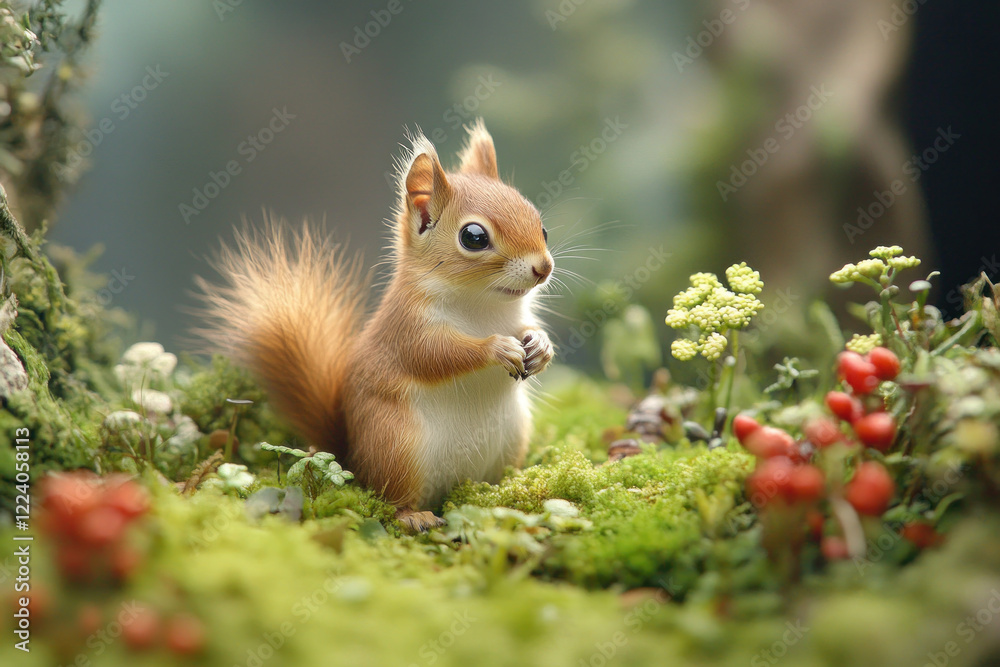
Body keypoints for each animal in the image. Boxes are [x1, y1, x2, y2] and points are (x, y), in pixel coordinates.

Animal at [194, 121, 555, 531]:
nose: (543, 268)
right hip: (397, 447)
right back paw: (415, 516)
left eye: (540, 224)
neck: (484, 305)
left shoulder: (516, 317)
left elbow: (529, 330)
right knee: (393, 502)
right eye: (473, 237)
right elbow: (436, 355)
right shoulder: (407, 329)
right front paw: (496, 348)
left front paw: (540, 347)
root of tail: (353, 455)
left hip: (511, 439)